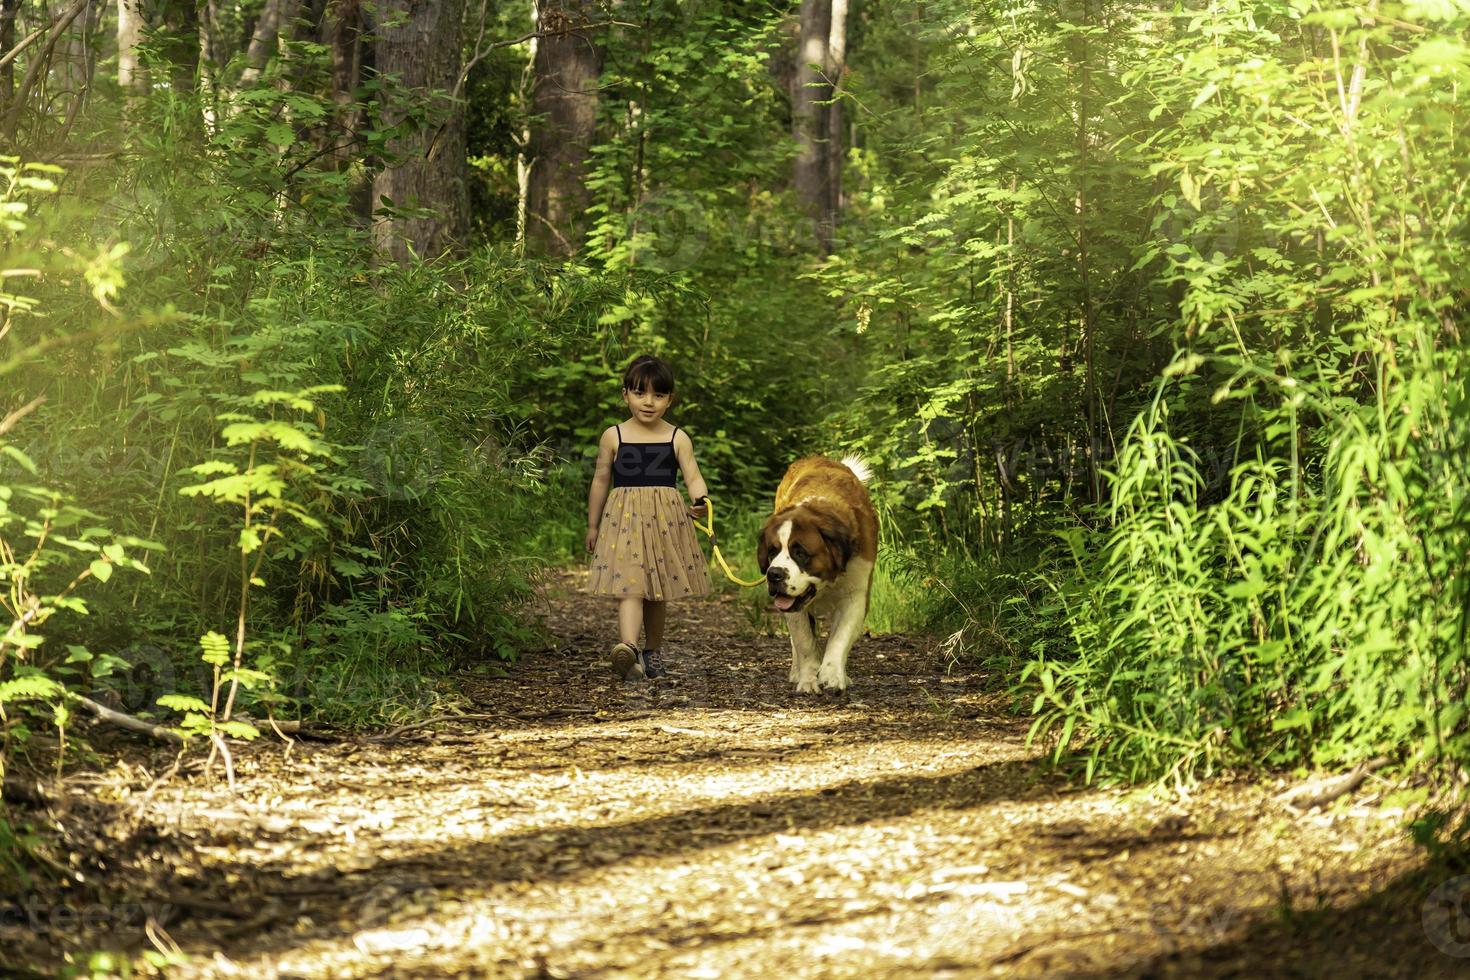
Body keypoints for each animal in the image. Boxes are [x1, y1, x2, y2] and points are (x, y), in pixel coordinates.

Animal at [752, 455, 876, 693]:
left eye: (800, 553)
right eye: (772, 551)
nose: (774, 574)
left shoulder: (856, 594)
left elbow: (839, 637)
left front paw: (832, 674)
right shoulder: (794, 607)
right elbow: (804, 642)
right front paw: (809, 678)